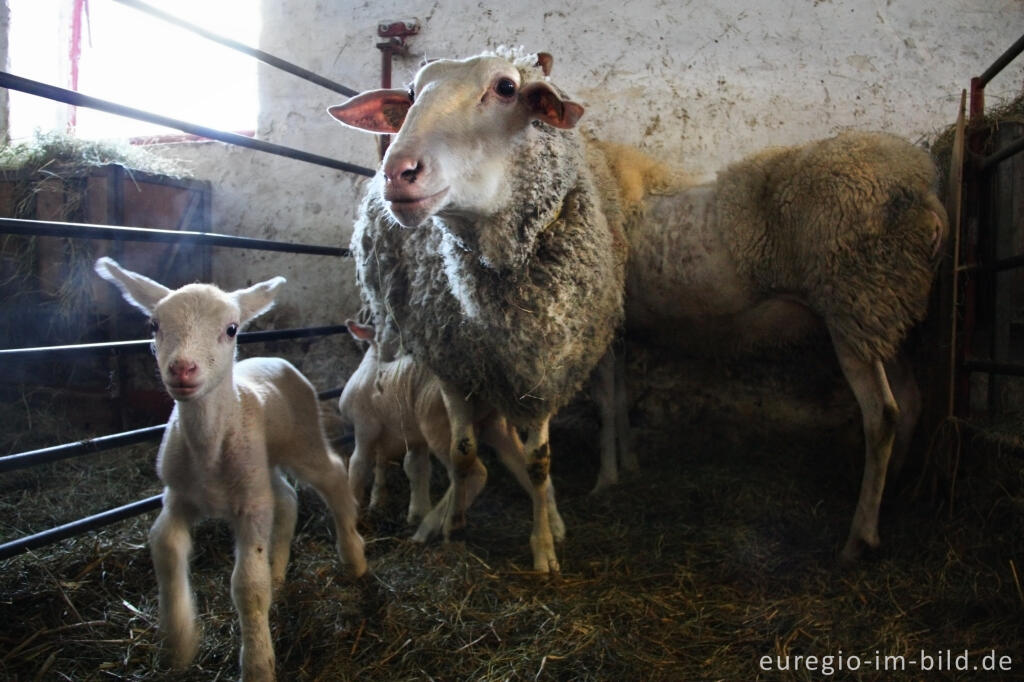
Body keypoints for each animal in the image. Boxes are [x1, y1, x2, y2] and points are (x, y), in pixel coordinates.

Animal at [92, 256, 364, 679]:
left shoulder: (251, 506)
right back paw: (278, 570)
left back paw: (353, 555)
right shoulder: (178, 496)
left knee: (333, 476)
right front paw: (179, 642)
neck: (207, 451)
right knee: (286, 497)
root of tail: (274, 359)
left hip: (302, 439)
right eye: (154, 325)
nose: (182, 369)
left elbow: (247, 585)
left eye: (231, 329)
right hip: (262, 463)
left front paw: (257, 664)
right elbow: (164, 547)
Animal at [329, 45, 630, 569]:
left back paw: (605, 479)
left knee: (608, 405)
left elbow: (538, 463)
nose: (397, 172)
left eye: (506, 88)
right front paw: (453, 528)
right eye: (411, 93)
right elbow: (463, 450)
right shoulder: (453, 361)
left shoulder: (543, 367)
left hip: (599, 338)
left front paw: (544, 549)